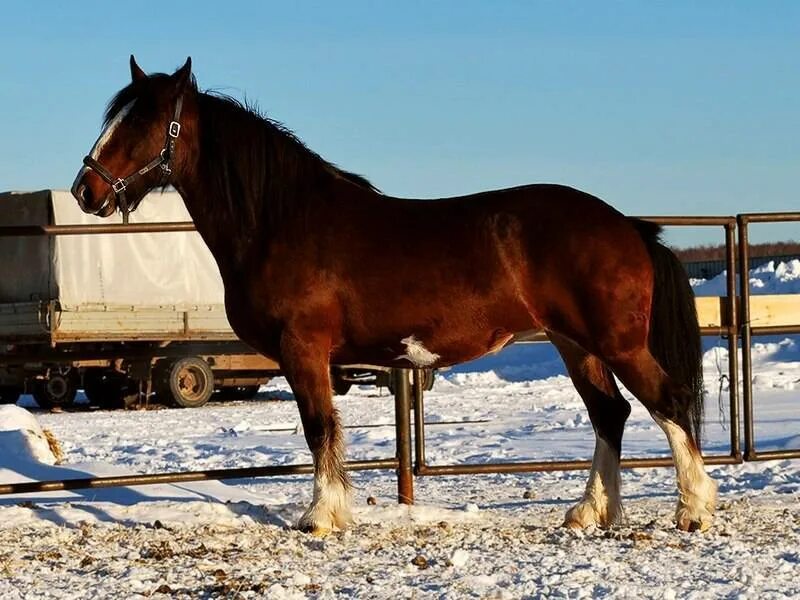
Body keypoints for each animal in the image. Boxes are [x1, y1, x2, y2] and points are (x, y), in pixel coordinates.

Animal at [72, 56, 716, 536]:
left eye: (142, 123)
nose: (84, 190)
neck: (281, 220)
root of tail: (627, 225)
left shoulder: (304, 350)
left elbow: (319, 427)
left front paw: (321, 517)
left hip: (615, 343)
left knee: (667, 401)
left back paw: (692, 510)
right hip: (574, 343)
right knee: (611, 413)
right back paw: (589, 513)